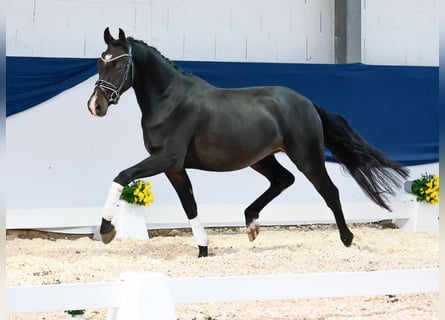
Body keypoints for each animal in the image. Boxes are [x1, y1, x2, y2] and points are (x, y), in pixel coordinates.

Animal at [87, 28, 410, 258]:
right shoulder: (174, 168)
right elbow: (189, 205)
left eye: (119, 66)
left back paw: (347, 239)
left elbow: (122, 176)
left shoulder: (168, 159)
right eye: (101, 63)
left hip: (306, 155)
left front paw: (106, 230)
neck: (170, 100)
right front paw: (203, 249)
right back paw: (251, 224)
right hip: (262, 158)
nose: (95, 106)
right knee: (283, 180)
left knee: (329, 191)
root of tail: (307, 102)